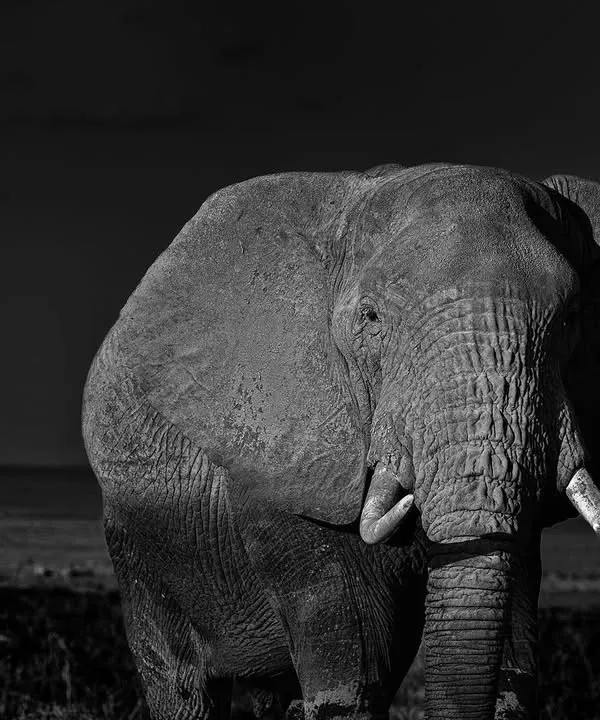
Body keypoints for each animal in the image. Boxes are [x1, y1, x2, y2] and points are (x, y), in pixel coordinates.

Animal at [82, 162, 600, 720]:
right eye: (370, 319)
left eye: (572, 316)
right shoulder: (284, 464)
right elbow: (352, 682)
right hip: (139, 536)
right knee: (180, 684)